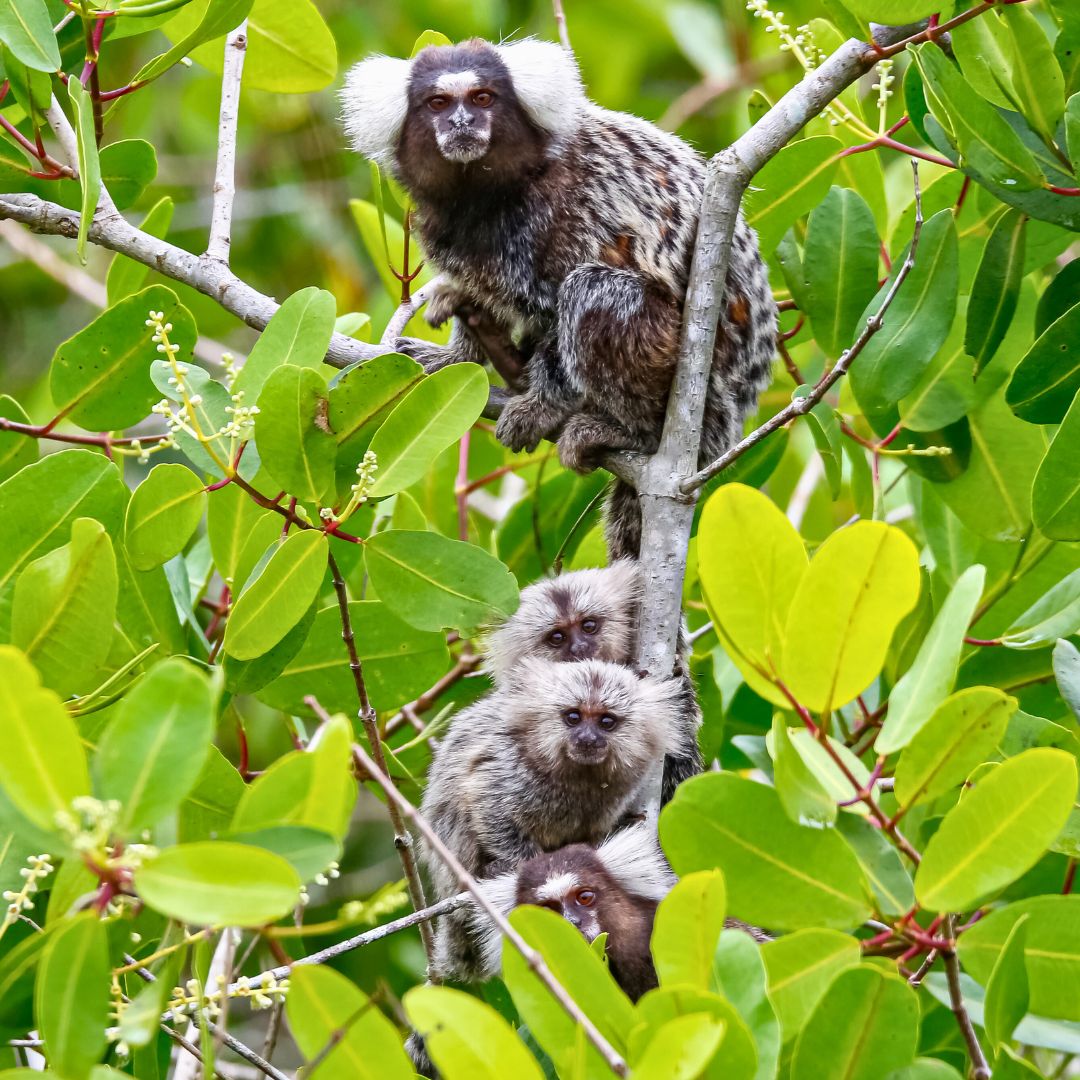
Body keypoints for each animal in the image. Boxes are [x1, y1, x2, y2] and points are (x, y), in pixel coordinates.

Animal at [341, 38, 777, 559]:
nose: (463, 122)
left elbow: (553, 311)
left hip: (691, 380)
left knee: (593, 291)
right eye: (438, 104)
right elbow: (475, 297)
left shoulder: (577, 205)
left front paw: (541, 405)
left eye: (483, 98)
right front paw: (456, 355)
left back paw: (631, 432)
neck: (488, 196)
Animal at [418, 658, 682, 977]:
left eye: (606, 721)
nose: (587, 738)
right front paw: (522, 867)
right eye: (573, 717)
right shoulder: (510, 769)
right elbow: (489, 806)